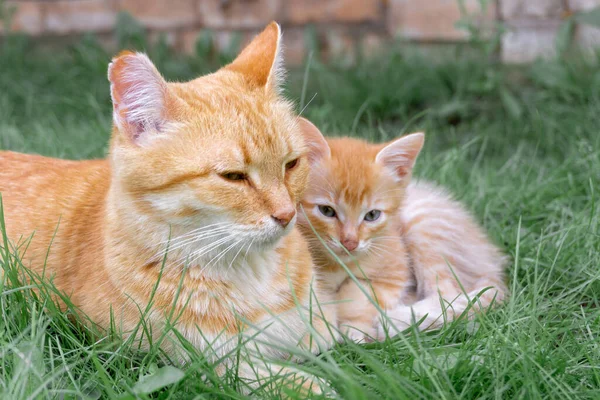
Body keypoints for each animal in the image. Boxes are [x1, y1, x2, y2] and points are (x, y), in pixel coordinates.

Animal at [0, 23, 338, 392]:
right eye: (233, 176)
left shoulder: (325, 334)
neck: (252, 271)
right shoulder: (204, 363)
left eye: (291, 164)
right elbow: (301, 381)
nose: (287, 214)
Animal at [298, 132, 506, 340]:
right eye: (326, 211)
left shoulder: (395, 271)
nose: (350, 242)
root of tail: (490, 260)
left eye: (372, 215)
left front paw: (356, 329)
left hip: (424, 225)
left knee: (447, 294)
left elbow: (358, 298)